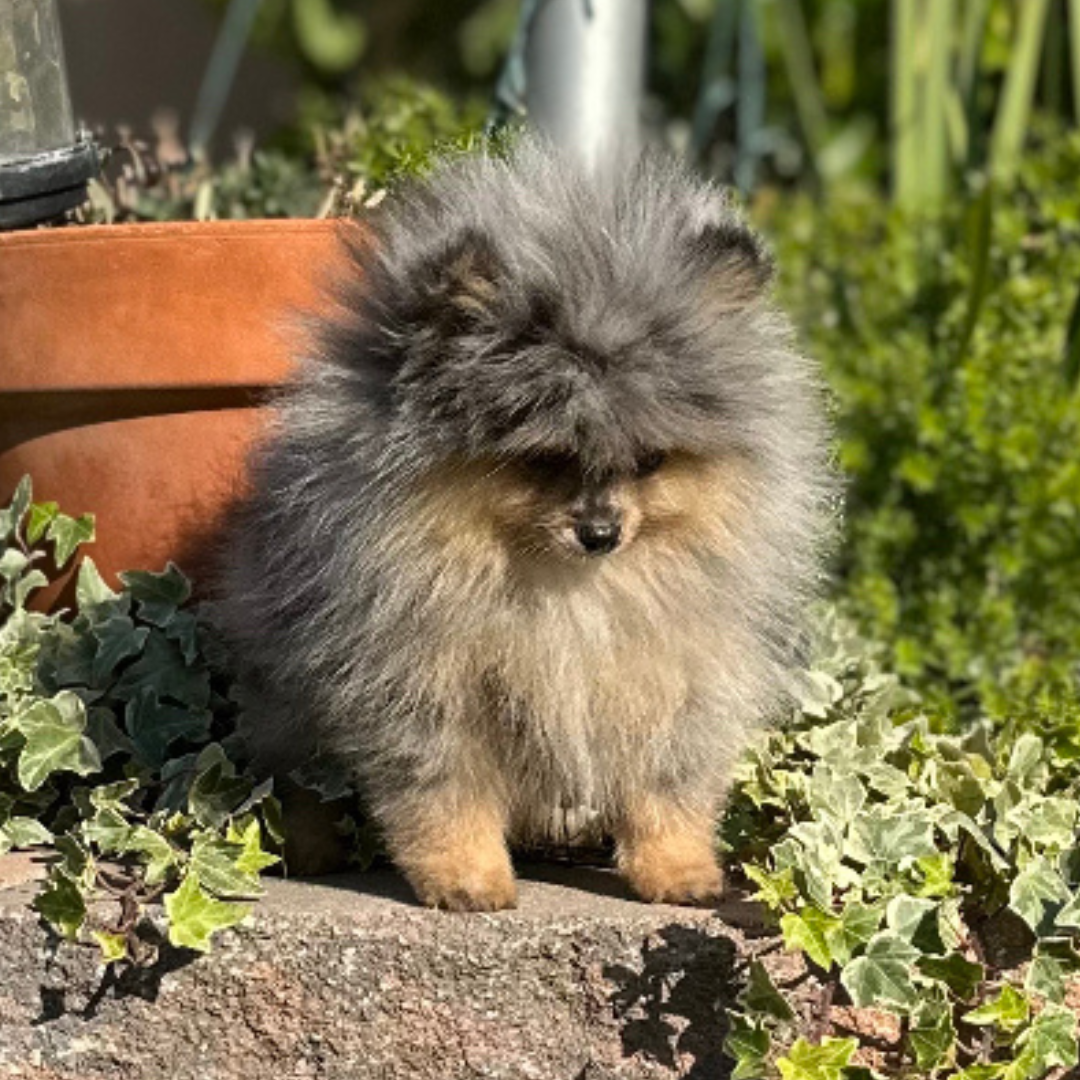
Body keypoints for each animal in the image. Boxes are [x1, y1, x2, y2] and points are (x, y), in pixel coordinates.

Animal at [214, 137, 829, 911]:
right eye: (544, 456)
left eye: (650, 460)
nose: (600, 532)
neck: (566, 590)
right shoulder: (422, 689)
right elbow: (447, 796)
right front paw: (466, 879)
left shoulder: (677, 681)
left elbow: (667, 790)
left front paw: (679, 872)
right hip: (287, 712)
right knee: (297, 785)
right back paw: (308, 851)